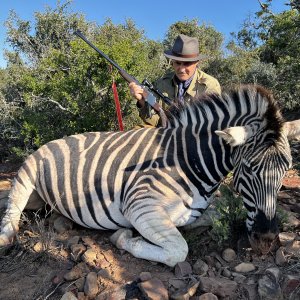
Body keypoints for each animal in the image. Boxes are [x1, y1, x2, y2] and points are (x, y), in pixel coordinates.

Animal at [0, 85, 298, 266]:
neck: (189, 159)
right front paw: (123, 238)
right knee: (11, 211)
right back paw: (7, 239)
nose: (266, 241)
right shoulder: (140, 206)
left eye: (285, 170)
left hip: (40, 200)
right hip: (26, 176)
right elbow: (178, 251)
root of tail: (51, 141)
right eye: (248, 169)